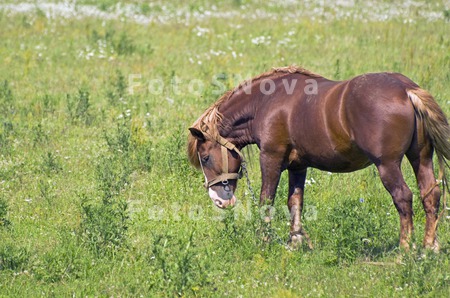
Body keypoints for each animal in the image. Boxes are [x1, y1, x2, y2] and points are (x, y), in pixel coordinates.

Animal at [187, 66, 450, 250]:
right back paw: (430, 247)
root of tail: (406, 90)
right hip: (420, 158)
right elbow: (295, 203)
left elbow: (266, 201)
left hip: (387, 165)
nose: (219, 201)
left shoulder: (271, 158)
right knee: (431, 194)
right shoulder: (298, 166)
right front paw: (295, 243)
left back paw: (405, 251)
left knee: (403, 197)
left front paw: (264, 241)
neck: (267, 102)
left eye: (206, 158)